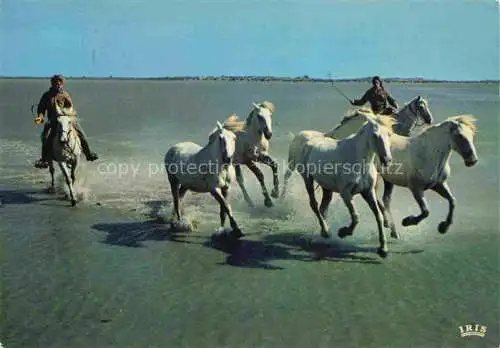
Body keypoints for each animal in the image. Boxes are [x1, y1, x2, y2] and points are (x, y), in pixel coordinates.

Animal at [280, 96, 432, 198]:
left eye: (427, 105)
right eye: (421, 106)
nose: (430, 120)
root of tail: (298, 135)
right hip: (292, 164)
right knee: (287, 176)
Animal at [298, 115, 396, 256]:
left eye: (389, 134)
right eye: (375, 135)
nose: (387, 160)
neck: (359, 162)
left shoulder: (368, 192)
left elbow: (379, 216)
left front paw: (383, 248)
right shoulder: (346, 194)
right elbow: (356, 216)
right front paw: (343, 232)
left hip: (326, 187)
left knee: (323, 208)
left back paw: (324, 231)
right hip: (307, 179)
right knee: (314, 205)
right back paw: (327, 232)